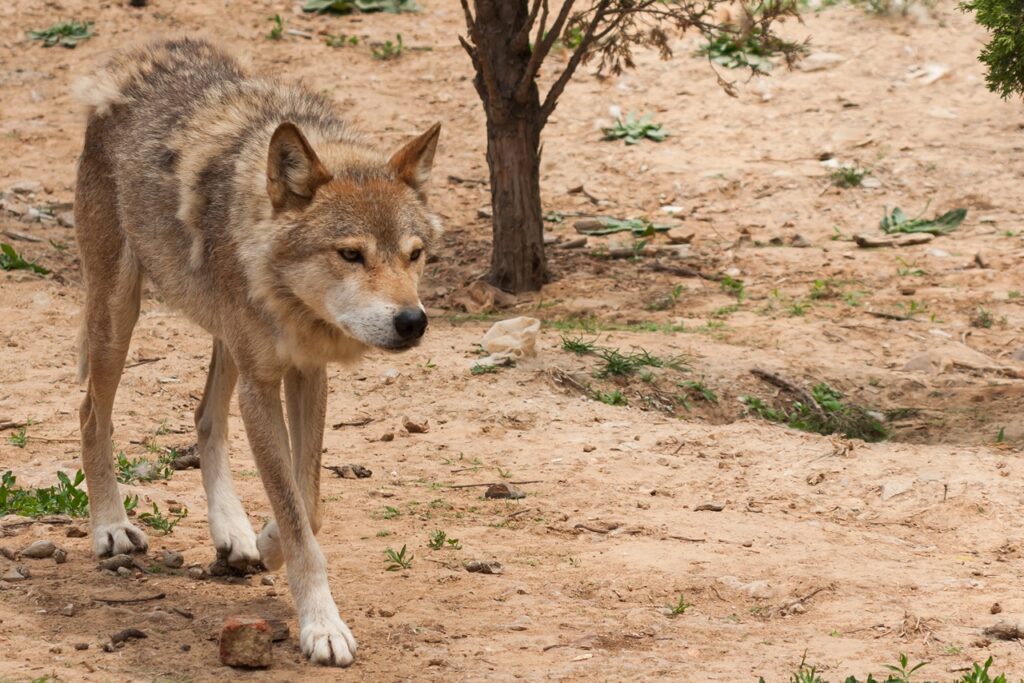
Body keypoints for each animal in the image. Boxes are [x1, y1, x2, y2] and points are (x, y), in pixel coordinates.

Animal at [72, 36, 441, 666]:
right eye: (350, 254)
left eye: (413, 254)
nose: (412, 321)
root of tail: (136, 59)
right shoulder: (263, 385)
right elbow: (297, 511)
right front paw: (321, 625)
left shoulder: (306, 374)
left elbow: (306, 500)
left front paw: (268, 541)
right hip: (120, 314)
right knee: (92, 411)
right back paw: (111, 528)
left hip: (226, 342)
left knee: (204, 416)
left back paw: (234, 533)